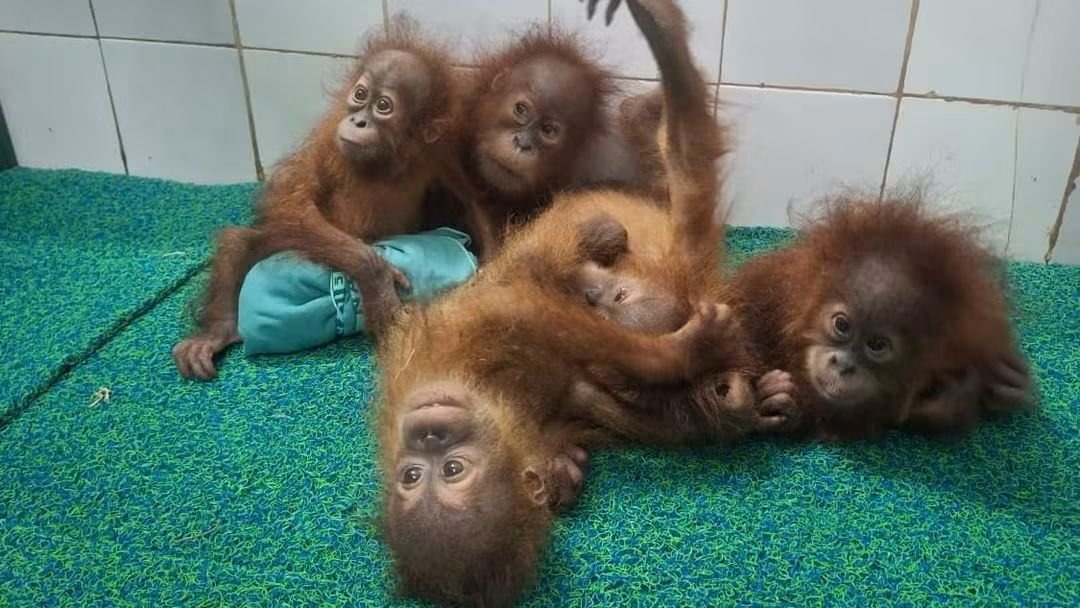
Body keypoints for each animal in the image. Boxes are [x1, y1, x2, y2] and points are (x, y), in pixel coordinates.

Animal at [172, 18, 486, 379]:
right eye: (360, 95)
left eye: (383, 106)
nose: (358, 120)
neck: (384, 162)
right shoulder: (328, 139)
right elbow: (293, 204)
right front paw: (376, 280)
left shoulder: (442, 148)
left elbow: (469, 200)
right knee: (241, 244)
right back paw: (216, 332)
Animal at [375, 2, 763, 605]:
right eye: (413, 477)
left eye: (450, 470)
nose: (428, 433)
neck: (492, 396)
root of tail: (690, 270)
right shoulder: (548, 394)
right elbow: (601, 378)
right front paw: (709, 383)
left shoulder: (464, 342)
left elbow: (529, 303)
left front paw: (693, 356)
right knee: (688, 166)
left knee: (680, 158)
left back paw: (663, 44)